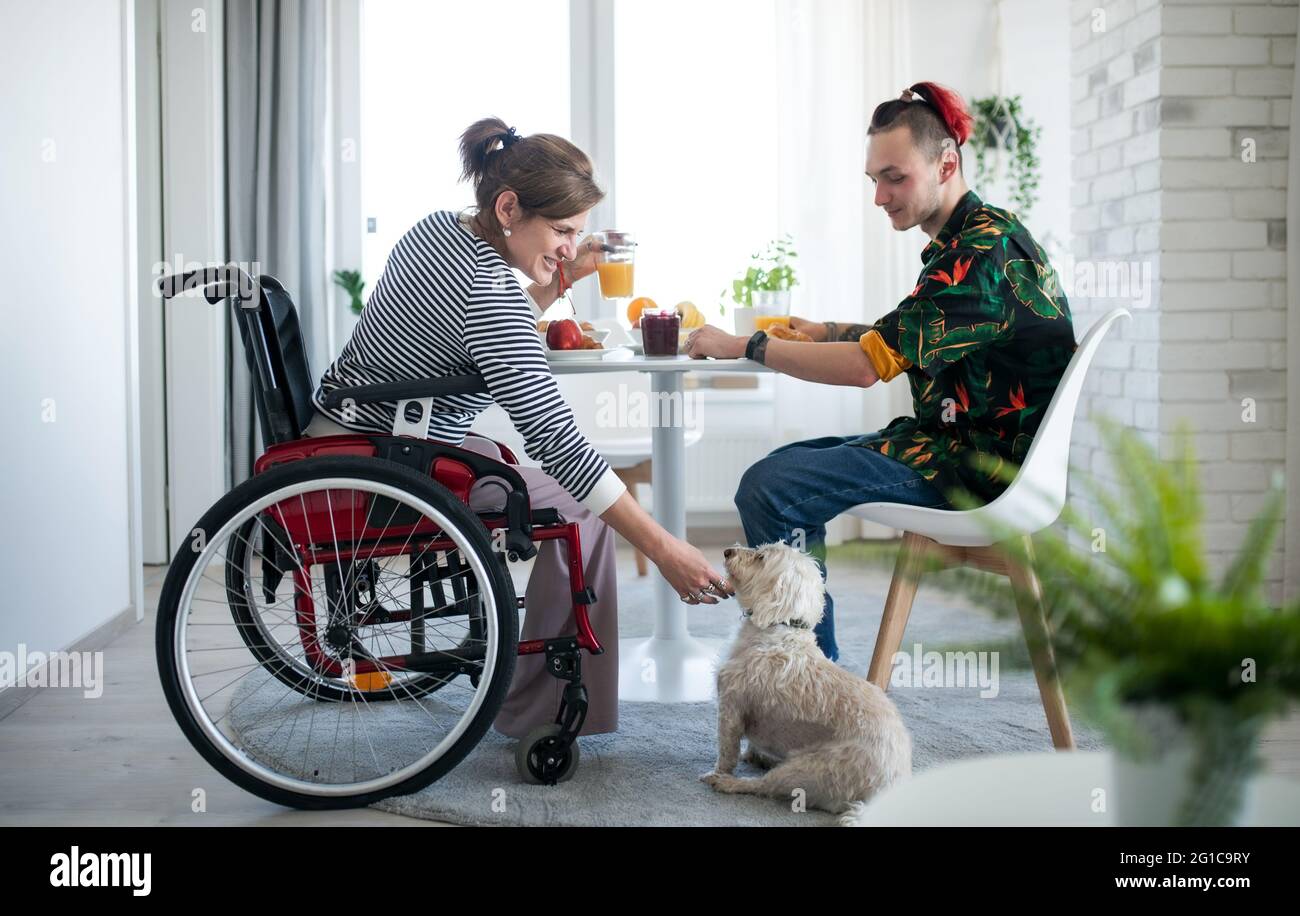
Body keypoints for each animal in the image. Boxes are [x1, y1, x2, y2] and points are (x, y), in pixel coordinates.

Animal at [702, 540, 915, 826]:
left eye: (761, 557)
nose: (728, 551)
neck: (780, 627)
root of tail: (888, 787)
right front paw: (753, 753)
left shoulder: (731, 708)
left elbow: (727, 750)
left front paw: (719, 770)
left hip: (808, 769)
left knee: (765, 787)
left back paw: (731, 783)